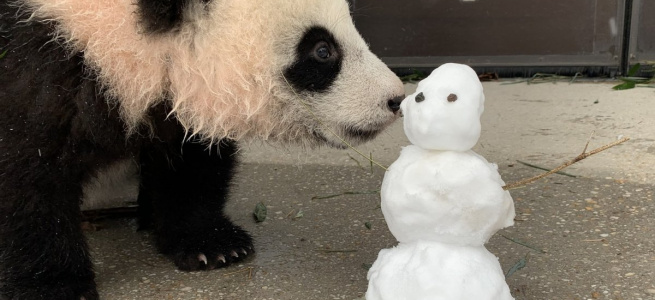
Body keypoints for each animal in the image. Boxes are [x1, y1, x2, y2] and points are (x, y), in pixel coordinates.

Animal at [0, 0, 404, 298]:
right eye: (322, 50)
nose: (395, 98)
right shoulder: (39, 64)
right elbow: (27, 177)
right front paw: (54, 286)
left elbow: (191, 162)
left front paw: (214, 244)